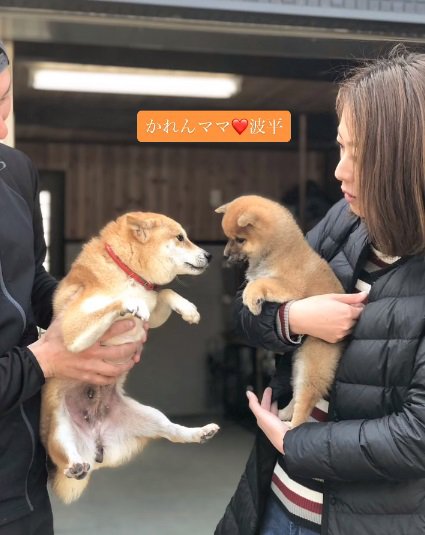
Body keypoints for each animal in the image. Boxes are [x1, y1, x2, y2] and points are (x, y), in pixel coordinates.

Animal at [40, 211, 219, 504]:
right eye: (180, 238)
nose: (209, 255)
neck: (128, 274)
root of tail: (96, 443)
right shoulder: (72, 330)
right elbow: (112, 303)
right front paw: (130, 303)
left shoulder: (154, 312)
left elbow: (164, 293)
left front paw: (188, 309)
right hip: (60, 430)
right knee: (67, 458)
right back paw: (75, 466)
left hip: (152, 416)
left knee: (173, 433)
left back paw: (200, 432)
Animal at [217, 196, 342, 428]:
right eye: (229, 239)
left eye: (240, 240)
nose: (225, 255)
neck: (277, 251)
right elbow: (254, 281)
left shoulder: (290, 286)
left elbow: (259, 283)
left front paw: (252, 299)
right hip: (299, 363)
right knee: (297, 393)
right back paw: (284, 413)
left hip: (311, 365)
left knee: (307, 399)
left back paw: (291, 426)